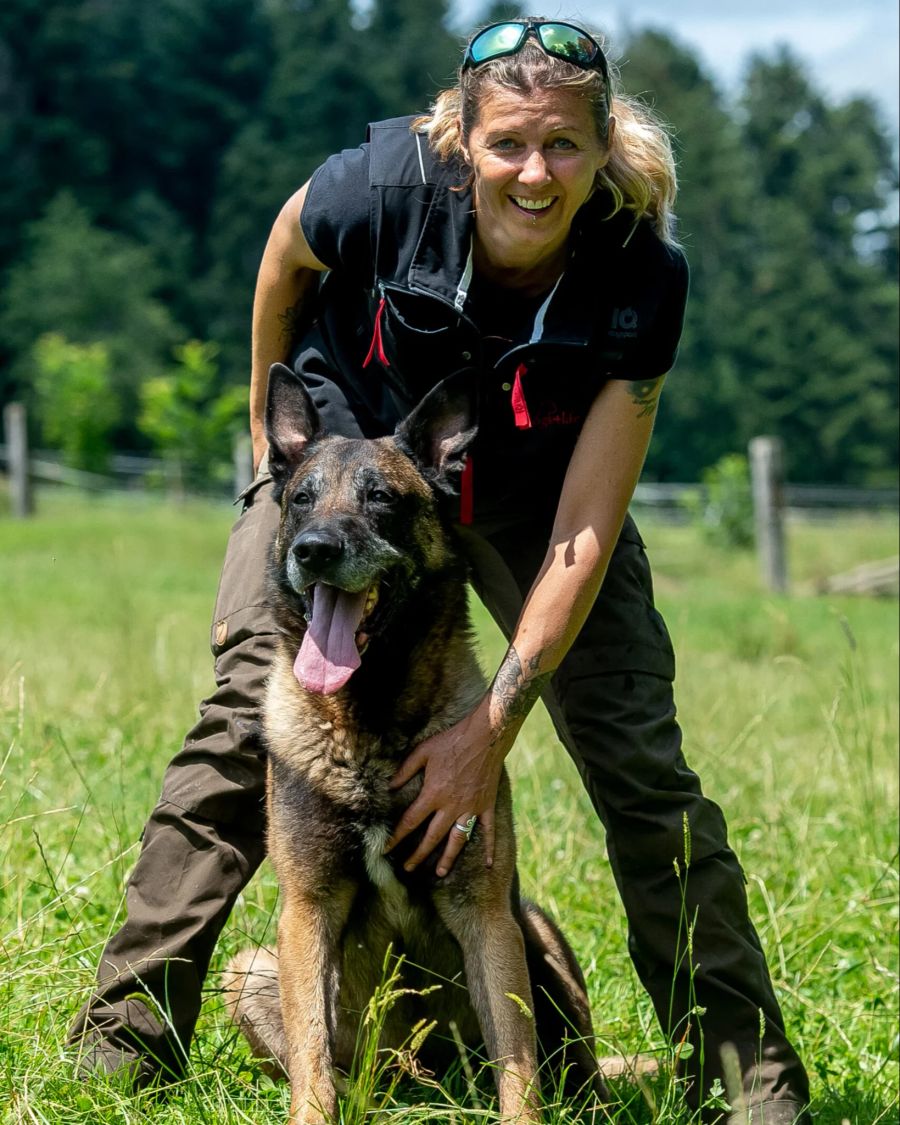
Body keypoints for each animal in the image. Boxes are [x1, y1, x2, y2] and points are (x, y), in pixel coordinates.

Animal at [221, 364, 607, 1120]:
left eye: (381, 499)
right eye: (302, 498)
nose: (315, 551)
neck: (369, 725)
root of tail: (424, 1082)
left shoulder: (485, 912)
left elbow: (517, 1064)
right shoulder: (307, 910)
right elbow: (312, 1056)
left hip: (536, 927)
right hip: (247, 969)